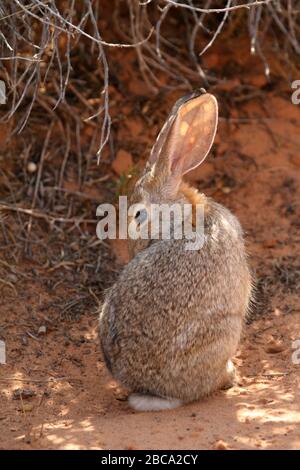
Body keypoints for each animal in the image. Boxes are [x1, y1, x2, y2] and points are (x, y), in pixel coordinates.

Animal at [98, 91, 251, 412]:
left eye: (138, 215)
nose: (133, 249)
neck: (184, 215)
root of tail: (152, 391)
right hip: (227, 331)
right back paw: (230, 374)